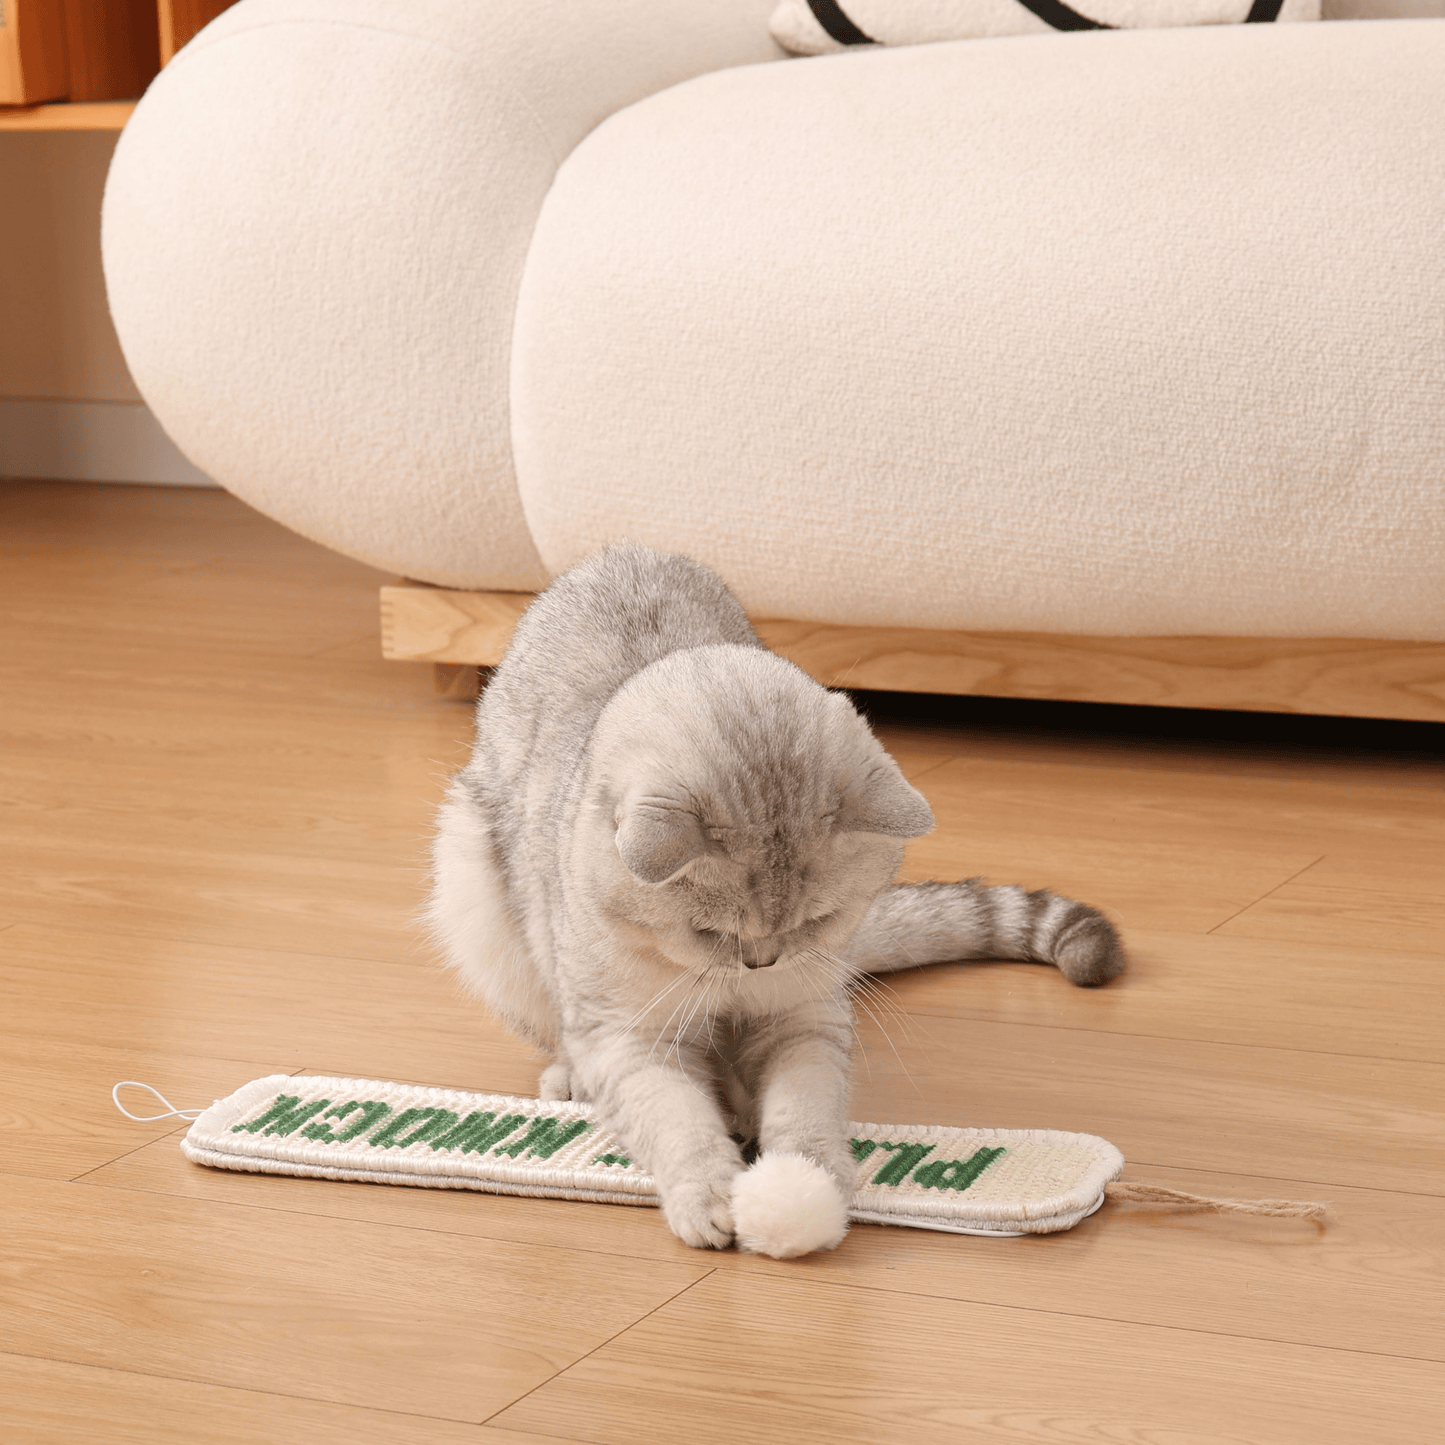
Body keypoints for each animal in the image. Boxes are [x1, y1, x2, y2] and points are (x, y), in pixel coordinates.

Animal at [421, 543, 1121, 1254]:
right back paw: (571, 1074)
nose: (763, 963)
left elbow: (805, 1104)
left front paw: (809, 1178)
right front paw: (707, 1193)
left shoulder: (801, 1019)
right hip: (474, 895)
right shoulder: (630, 1038)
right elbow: (676, 1121)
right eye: (709, 933)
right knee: (557, 1024)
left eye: (818, 921)